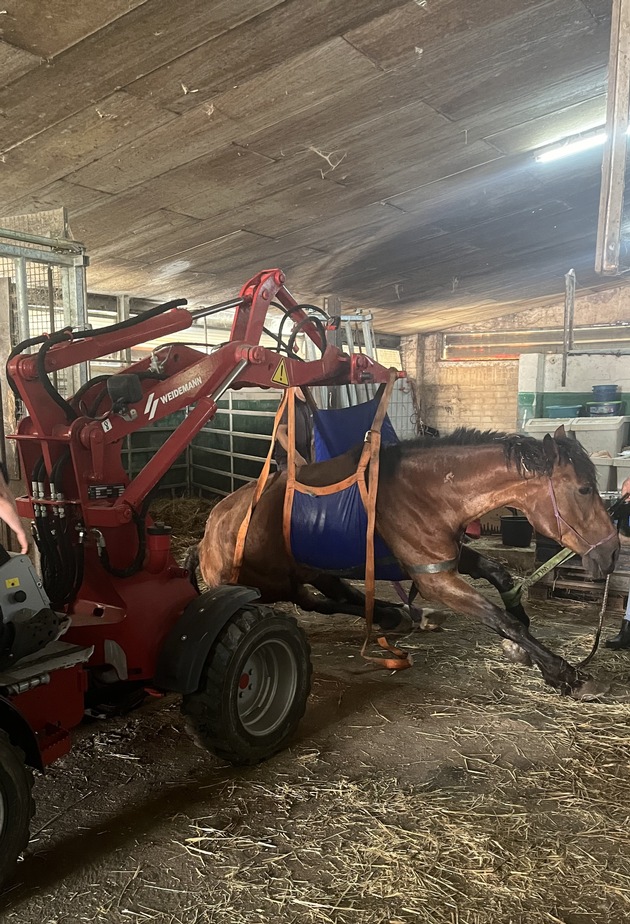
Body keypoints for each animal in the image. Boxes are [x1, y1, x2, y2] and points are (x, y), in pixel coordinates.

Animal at [190, 430, 620, 696]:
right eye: (584, 489)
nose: (613, 552)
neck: (425, 490)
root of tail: (208, 535)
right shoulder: (434, 578)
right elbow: (498, 615)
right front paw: (564, 673)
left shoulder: (445, 560)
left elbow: (499, 578)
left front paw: (521, 636)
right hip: (272, 584)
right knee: (317, 603)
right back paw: (399, 615)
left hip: (310, 572)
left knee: (336, 595)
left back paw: (401, 615)